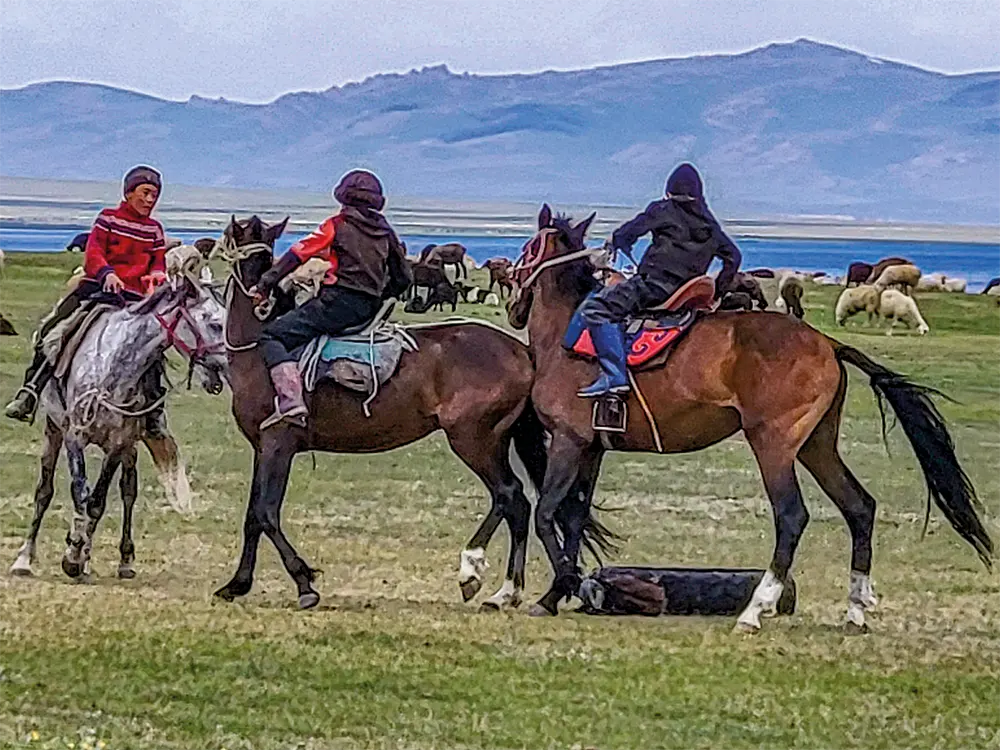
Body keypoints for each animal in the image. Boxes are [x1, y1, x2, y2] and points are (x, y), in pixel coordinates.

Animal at [9, 280, 229, 580]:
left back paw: (119, 560)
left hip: (130, 448)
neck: (113, 367)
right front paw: (73, 552)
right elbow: (80, 493)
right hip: (53, 430)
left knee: (128, 492)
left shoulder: (118, 445)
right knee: (44, 492)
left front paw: (77, 555)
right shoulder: (74, 437)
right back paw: (24, 558)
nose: (233, 362)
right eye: (215, 324)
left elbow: (97, 502)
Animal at [215, 216, 612, 612]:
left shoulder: (278, 444)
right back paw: (507, 591)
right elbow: (253, 516)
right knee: (519, 507)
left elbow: (266, 513)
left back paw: (471, 570)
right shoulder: (262, 448)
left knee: (508, 495)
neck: (260, 351)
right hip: (494, 441)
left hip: (474, 440)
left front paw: (303, 583)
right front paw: (237, 584)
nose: (260, 297)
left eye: (258, 252)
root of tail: (520, 350)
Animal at [508, 207, 992, 636]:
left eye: (528, 247)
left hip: (773, 444)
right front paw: (557, 593)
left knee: (792, 516)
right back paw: (855, 609)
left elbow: (547, 513)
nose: (514, 303)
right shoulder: (592, 448)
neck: (565, 337)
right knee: (859, 507)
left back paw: (755, 610)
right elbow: (573, 517)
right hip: (817, 444)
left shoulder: (569, 441)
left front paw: (566, 585)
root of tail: (828, 344)